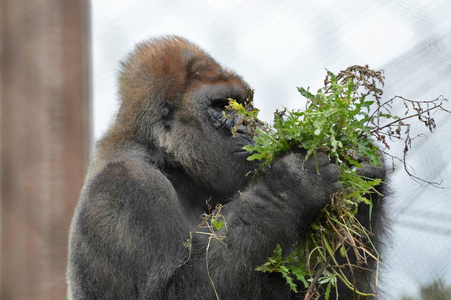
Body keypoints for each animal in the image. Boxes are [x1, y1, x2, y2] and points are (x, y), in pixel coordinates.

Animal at [68, 36, 388, 298]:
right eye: (222, 106)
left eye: (246, 104)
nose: (251, 125)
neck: (168, 160)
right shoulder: (128, 184)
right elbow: (176, 290)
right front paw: (293, 185)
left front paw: (363, 170)